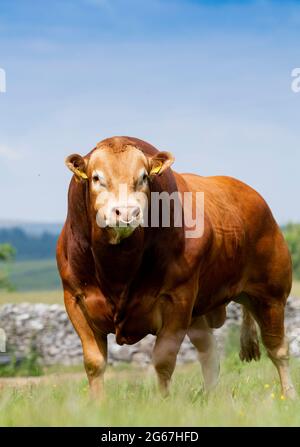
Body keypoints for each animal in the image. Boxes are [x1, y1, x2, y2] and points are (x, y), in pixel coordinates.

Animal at [57, 136, 296, 400]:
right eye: (97, 177)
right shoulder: (75, 299)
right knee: (209, 352)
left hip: (271, 294)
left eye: (143, 177)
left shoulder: (178, 299)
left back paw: (288, 395)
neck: (118, 269)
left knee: (278, 348)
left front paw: (162, 402)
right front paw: (98, 403)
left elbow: (164, 360)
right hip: (201, 311)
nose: (127, 213)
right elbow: (94, 362)